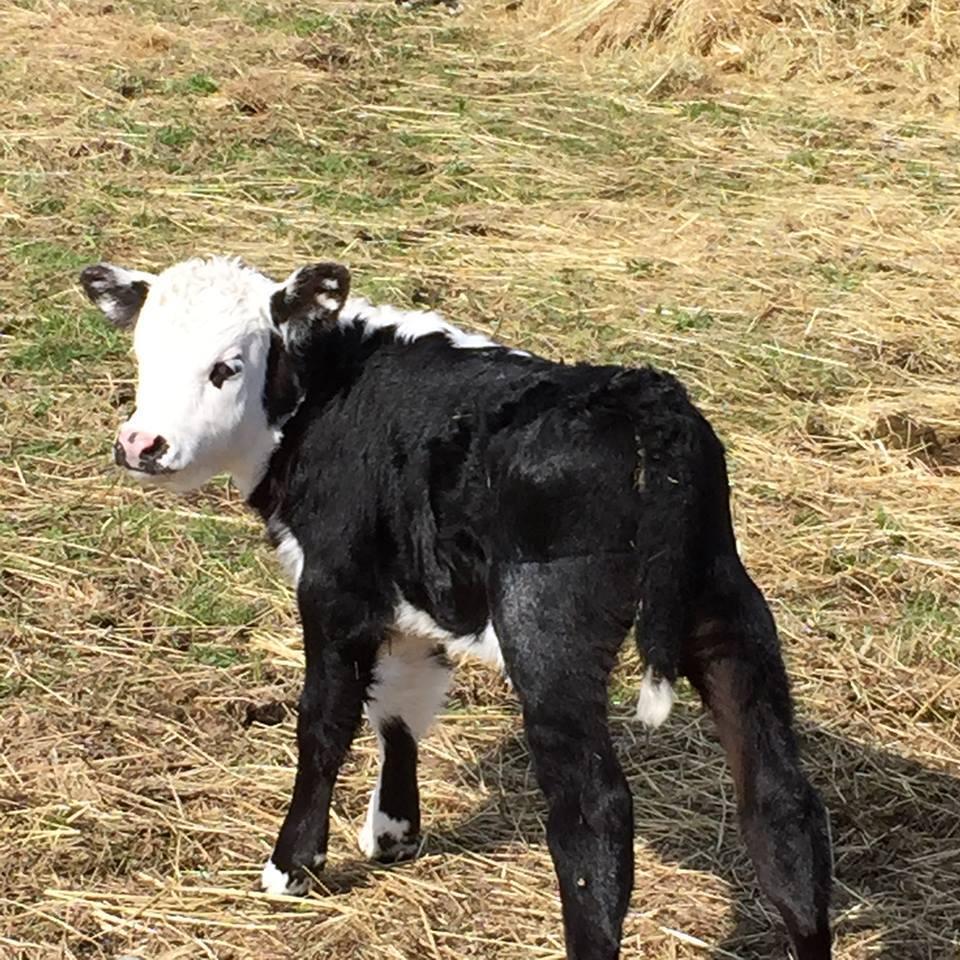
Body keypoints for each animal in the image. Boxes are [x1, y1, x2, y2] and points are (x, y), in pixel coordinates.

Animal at [80, 256, 833, 959]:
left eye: (226, 368)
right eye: (143, 357)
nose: (141, 444)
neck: (329, 392)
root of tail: (645, 401)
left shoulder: (334, 587)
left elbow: (324, 724)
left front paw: (292, 865)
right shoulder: (411, 597)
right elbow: (400, 710)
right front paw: (394, 832)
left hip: (549, 636)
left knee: (594, 815)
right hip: (727, 614)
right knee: (779, 800)